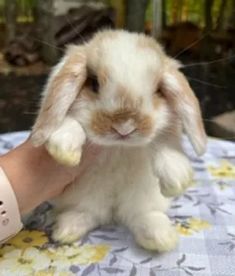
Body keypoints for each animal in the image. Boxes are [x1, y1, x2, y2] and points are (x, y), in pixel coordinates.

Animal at [30, 30, 206, 252]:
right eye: (94, 83)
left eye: (157, 90)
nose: (124, 128)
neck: (119, 148)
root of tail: (112, 210)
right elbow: (70, 121)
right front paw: (64, 150)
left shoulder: (166, 130)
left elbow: (163, 142)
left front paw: (177, 180)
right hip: (86, 198)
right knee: (88, 213)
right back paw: (66, 230)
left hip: (141, 199)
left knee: (139, 215)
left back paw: (160, 236)